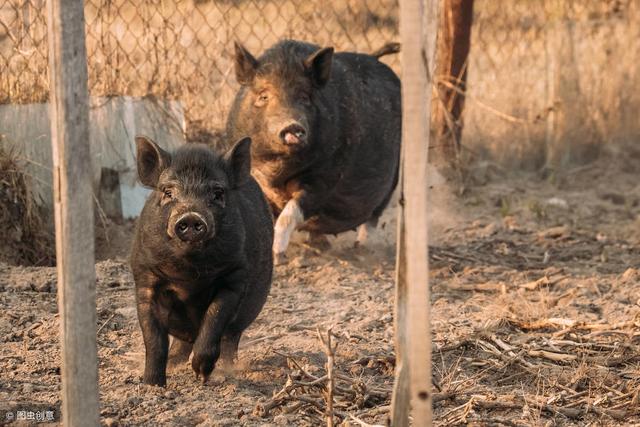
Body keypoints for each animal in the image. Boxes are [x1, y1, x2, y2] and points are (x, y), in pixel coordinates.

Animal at [129, 135, 272, 386]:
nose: (191, 216)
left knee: (230, 338)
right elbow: (154, 340)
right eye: (167, 192)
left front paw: (201, 375)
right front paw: (152, 385)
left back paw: (229, 370)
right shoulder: (146, 278)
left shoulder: (234, 277)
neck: (189, 278)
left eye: (218, 193)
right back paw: (175, 363)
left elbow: (214, 319)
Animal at [226, 39, 400, 264]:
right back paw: (320, 245)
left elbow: (291, 212)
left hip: (394, 175)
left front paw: (278, 257)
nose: (293, 126)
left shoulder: (324, 178)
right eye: (263, 96)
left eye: (305, 97)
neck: (277, 172)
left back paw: (360, 249)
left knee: (374, 215)